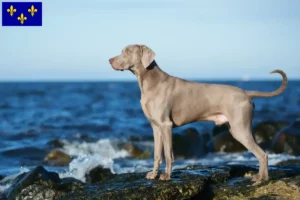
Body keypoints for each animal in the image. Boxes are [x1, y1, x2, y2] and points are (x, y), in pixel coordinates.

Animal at [109, 44, 288, 184]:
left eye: (126, 51)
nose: (110, 60)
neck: (150, 81)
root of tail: (246, 93)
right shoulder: (156, 127)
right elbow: (157, 154)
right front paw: (153, 174)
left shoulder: (166, 125)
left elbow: (168, 154)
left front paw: (166, 176)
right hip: (237, 127)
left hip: (239, 128)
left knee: (263, 154)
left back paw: (261, 179)